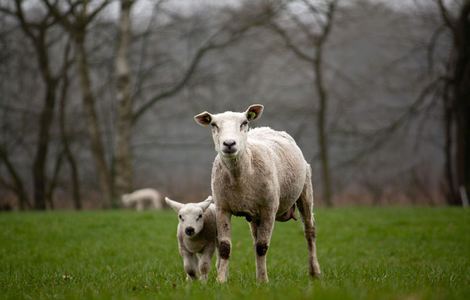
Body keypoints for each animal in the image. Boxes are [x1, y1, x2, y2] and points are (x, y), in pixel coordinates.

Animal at [193, 104, 322, 282]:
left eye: (244, 123)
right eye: (213, 124)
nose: (229, 143)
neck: (240, 176)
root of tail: (267, 128)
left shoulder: (269, 209)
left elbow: (262, 247)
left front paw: (262, 281)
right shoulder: (222, 208)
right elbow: (225, 247)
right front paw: (221, 280)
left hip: (305, 190)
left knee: (309, 231)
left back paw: (314, 272)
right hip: (254, 214)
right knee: (255, 238)